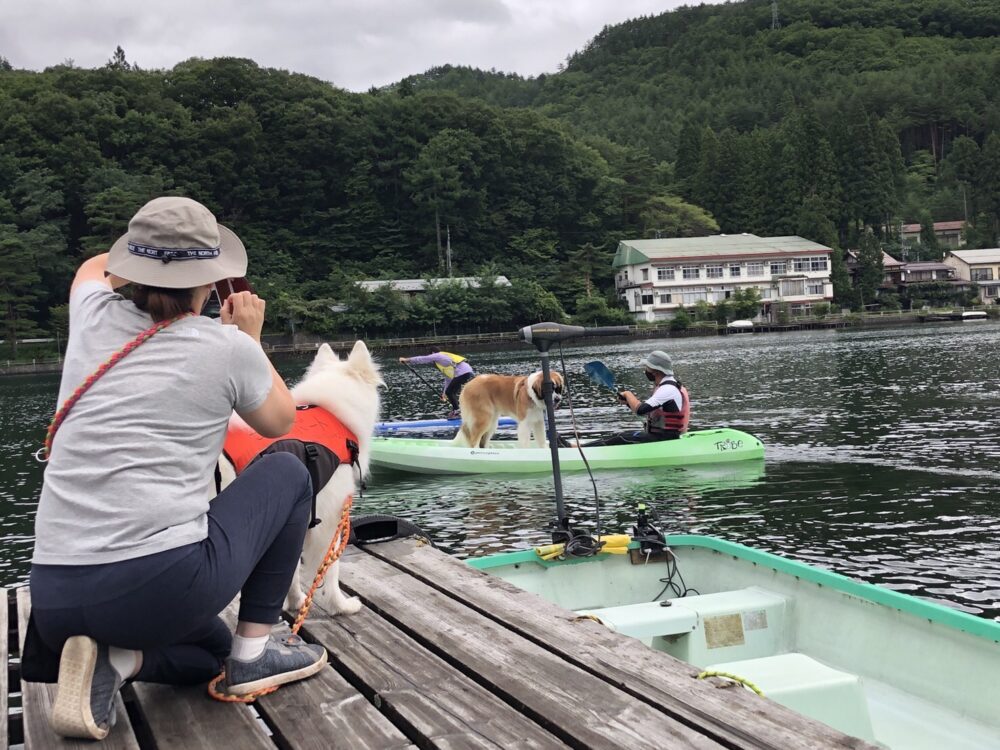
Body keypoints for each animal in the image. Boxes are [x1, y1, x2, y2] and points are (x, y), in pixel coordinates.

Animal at [219, 340, 382, 616]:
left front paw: (295, 601)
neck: (332, 414)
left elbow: (291, 569)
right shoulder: (328, 520)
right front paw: (340, 605)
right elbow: (330, 568)